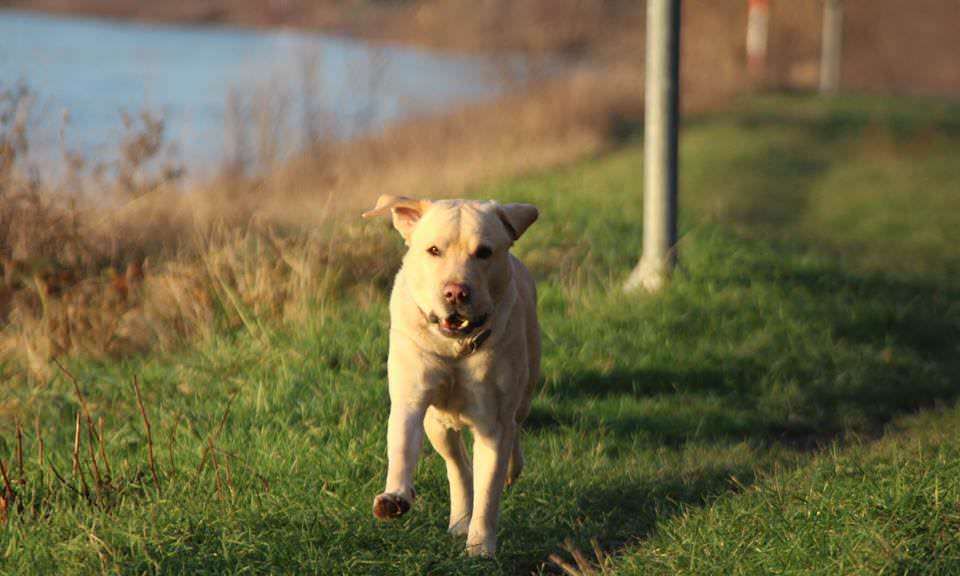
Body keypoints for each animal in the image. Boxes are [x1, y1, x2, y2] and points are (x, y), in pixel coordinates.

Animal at [360, 196, 540, 556]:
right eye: (433, 250)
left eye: (484, 252)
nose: (456, 292)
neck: (455, 348)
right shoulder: (411, 397)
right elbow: (402, 446)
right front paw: (394, 496)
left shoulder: (493, 422)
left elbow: (489, 491)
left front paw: (481, 547)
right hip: (438, 424)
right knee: (457, 465)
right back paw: (458, 519)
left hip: (526, 387)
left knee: (515, 427)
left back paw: (510, 470)